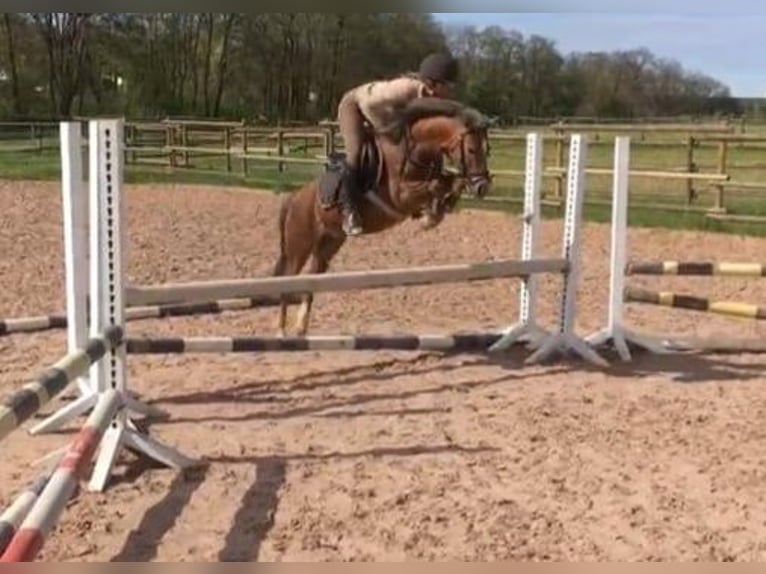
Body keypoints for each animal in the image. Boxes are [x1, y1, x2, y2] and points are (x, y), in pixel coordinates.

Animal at [272, 97, 496, 336]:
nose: (482, 187)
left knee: (311, 278)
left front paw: (438, 210)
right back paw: (281, 331)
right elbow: (437, 184)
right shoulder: (400, 196)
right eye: (471, 150)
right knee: (287, 279)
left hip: (328, 244)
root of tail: (293, 198)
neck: (415, 149)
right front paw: (432, 216)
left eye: (486, 150)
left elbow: (449, 181)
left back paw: (300, 328)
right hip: (299, 246)